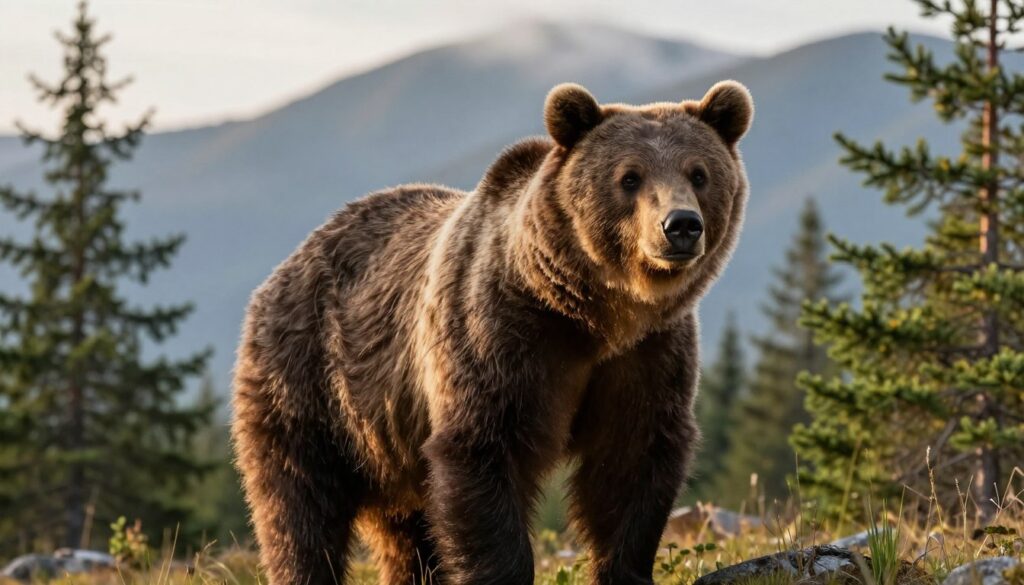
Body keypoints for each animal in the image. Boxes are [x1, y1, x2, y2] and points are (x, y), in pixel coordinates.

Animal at [231, 80, 753, 585]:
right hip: (309, 383)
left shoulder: (646, 353)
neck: (595, 314)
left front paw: (624, 570)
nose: (680, 225)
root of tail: (286, 266)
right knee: (299, 505)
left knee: (406, 531)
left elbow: (632, 460)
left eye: (699, 173)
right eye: (630, 177)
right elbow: (483, 452)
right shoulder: (500, 334)